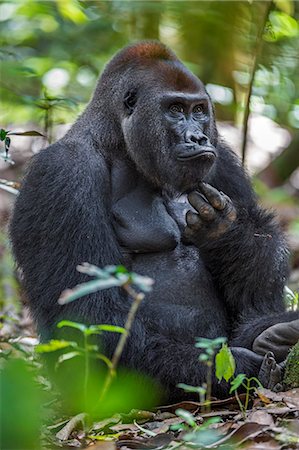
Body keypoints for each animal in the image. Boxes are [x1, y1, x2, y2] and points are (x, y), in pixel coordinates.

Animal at [9, 42, 299, 400]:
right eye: (175, 109)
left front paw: (226, 233)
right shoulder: (62, 172)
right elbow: (91, 315)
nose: (198, 138)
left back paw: (278, 332)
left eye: (199, 110)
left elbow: (255, 299)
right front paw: (239, 368)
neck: (117, 141)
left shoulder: (223, 158)